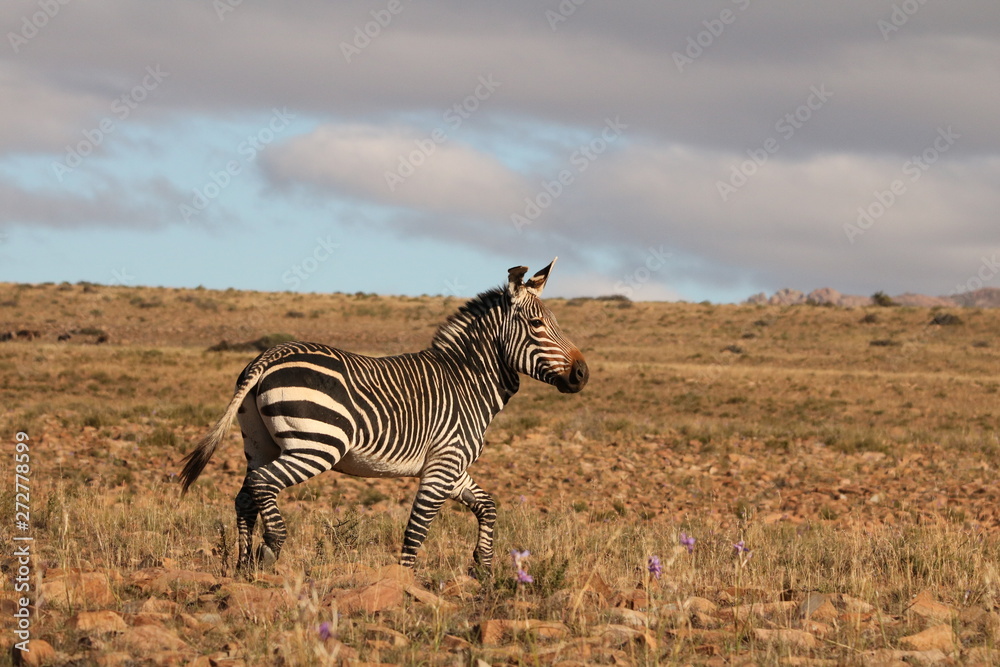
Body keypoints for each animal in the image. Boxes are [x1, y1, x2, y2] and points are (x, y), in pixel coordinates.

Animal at [179, 259, 588, 571]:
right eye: (537, 325)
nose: (583, 374)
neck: (467, 380)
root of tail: (272, 353)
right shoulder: (443, 465)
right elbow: (418, 529)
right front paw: (404, 585)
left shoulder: (452, 467)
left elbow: (487, 506)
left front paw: (483, 568)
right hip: (316, 445)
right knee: (263, 483)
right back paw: (270, 549)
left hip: (259, 442)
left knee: (246, 496)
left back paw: (242, 566)